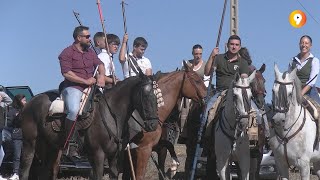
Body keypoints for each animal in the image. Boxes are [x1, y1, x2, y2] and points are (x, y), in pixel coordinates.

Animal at [19, 73, 159, 180]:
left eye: (156, 97)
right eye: (145, 96)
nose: (153, 124)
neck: (111, 114)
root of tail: (29, 103)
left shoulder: (113, 157)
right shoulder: (98, 155)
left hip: (51, 148)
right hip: (29, 144)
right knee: (25, 171)